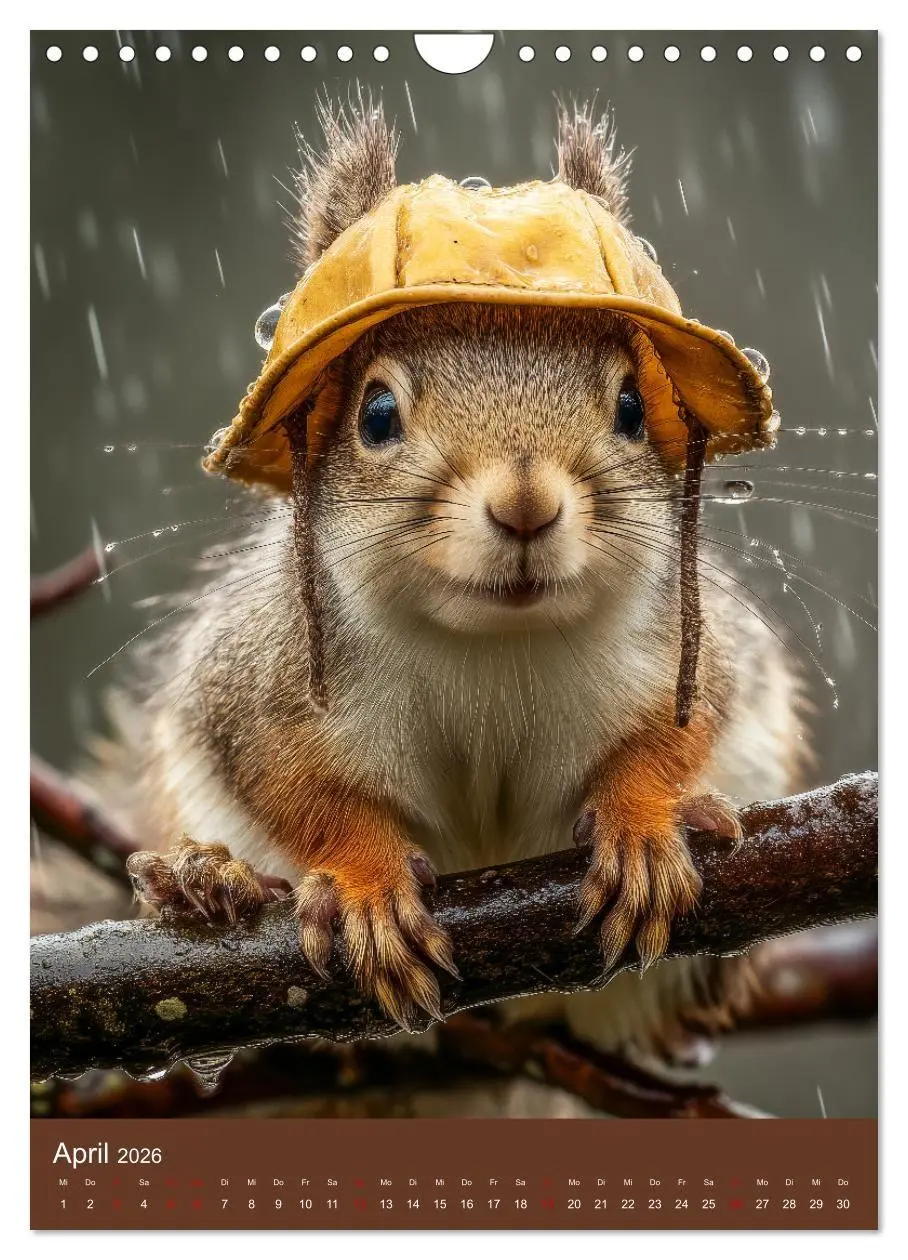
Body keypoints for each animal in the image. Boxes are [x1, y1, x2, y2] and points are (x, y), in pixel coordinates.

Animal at [107, 98, 810, 1060]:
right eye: (375, 414)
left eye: (633, 407)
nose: (525, 505)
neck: (493, 642)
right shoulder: (256, 684)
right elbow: (297, 788)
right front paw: (364, 882)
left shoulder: (689, 651)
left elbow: (683, 727)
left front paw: (644, 818)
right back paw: (205, 880)